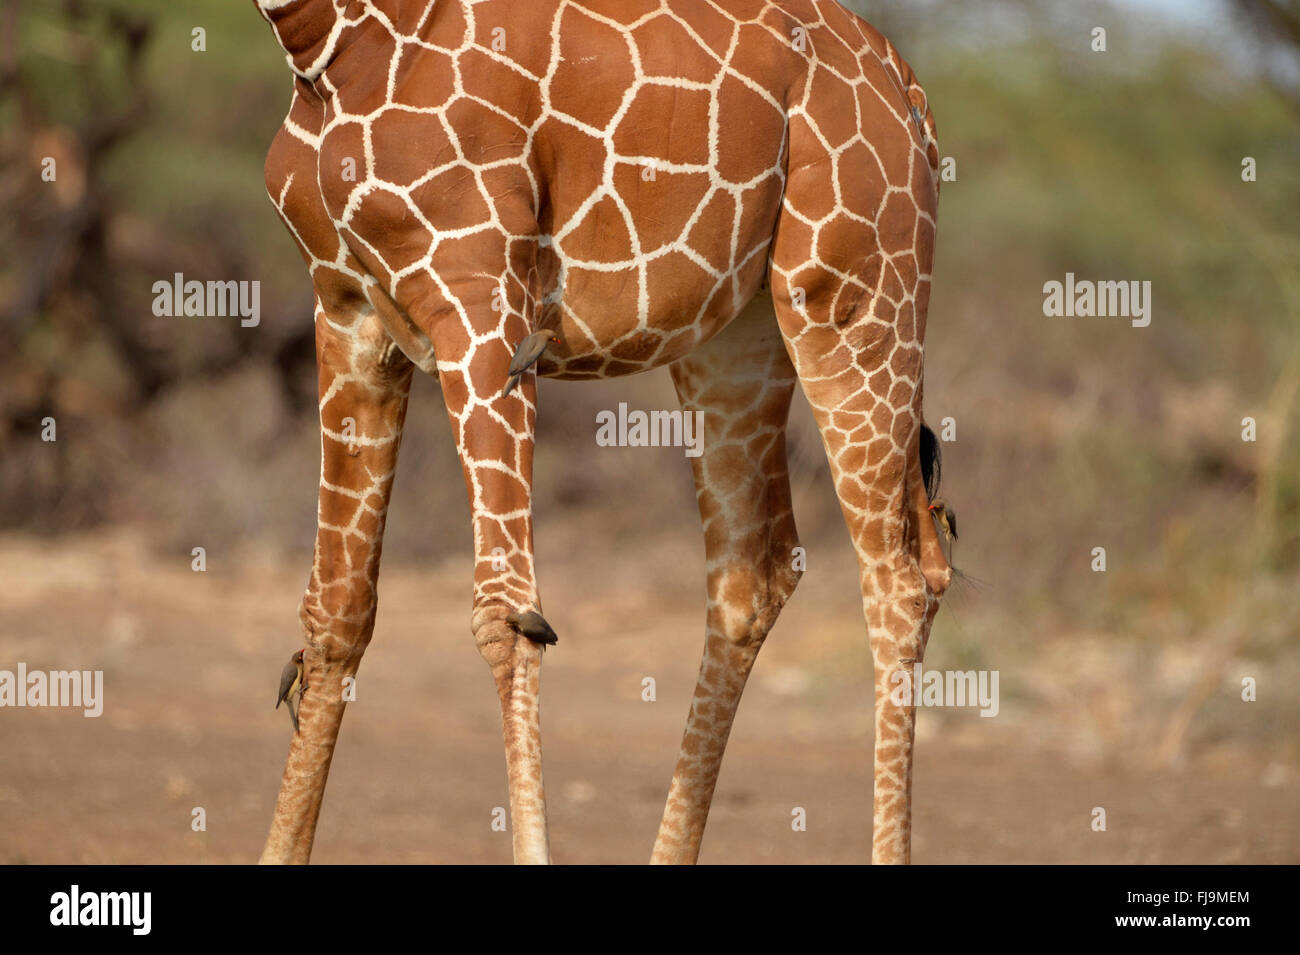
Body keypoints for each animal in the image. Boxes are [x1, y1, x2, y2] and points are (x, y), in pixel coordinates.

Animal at [254, 0, 951, 865]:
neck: (331, 41)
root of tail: (909, 91)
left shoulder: (481, 296)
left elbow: (506, 612)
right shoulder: (345, 305)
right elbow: (337, 611)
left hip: (854, 294)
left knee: (899, 580)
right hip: (739, 335)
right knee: (754, 578)